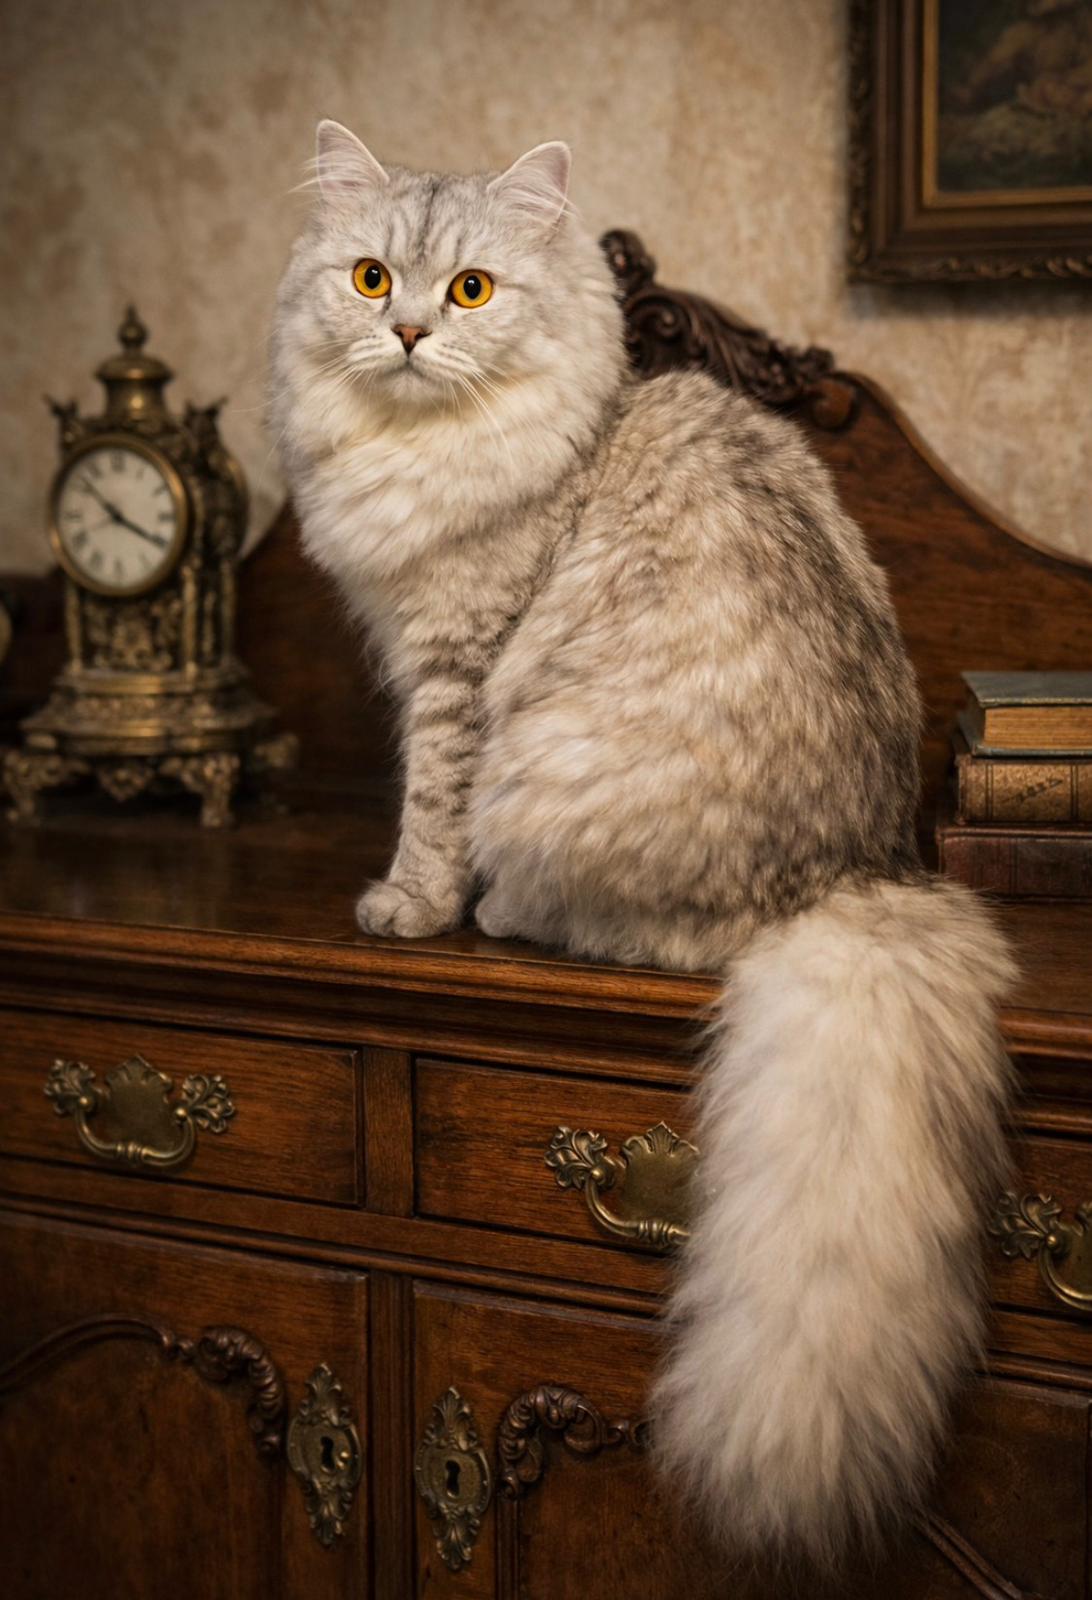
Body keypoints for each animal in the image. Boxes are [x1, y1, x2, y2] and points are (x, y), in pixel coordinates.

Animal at [269, 121, 1015, 1565]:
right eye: (373, 275)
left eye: (472, 292)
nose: (405, 334)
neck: (430, 443)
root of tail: (861, 872)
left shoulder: (457, 671)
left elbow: (428, 811)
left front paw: (409, 906)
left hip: (555, 781)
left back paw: (506, 913)